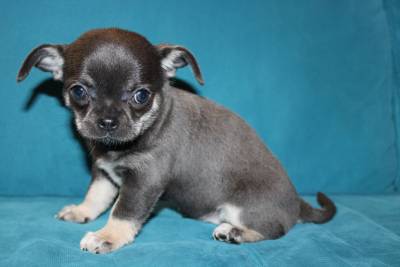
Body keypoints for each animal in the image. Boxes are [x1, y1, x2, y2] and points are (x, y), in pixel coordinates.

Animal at [16, 28, 334, 254]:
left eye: (141, 96)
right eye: (79, 91)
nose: (108, 121)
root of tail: (296, 202)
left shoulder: (143, 182)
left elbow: (122, 212)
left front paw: (107, 237)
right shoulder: (103, 173)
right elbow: (97, 196)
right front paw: (82, 211)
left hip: (244, 209)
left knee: (275, 229)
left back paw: (234, 232)